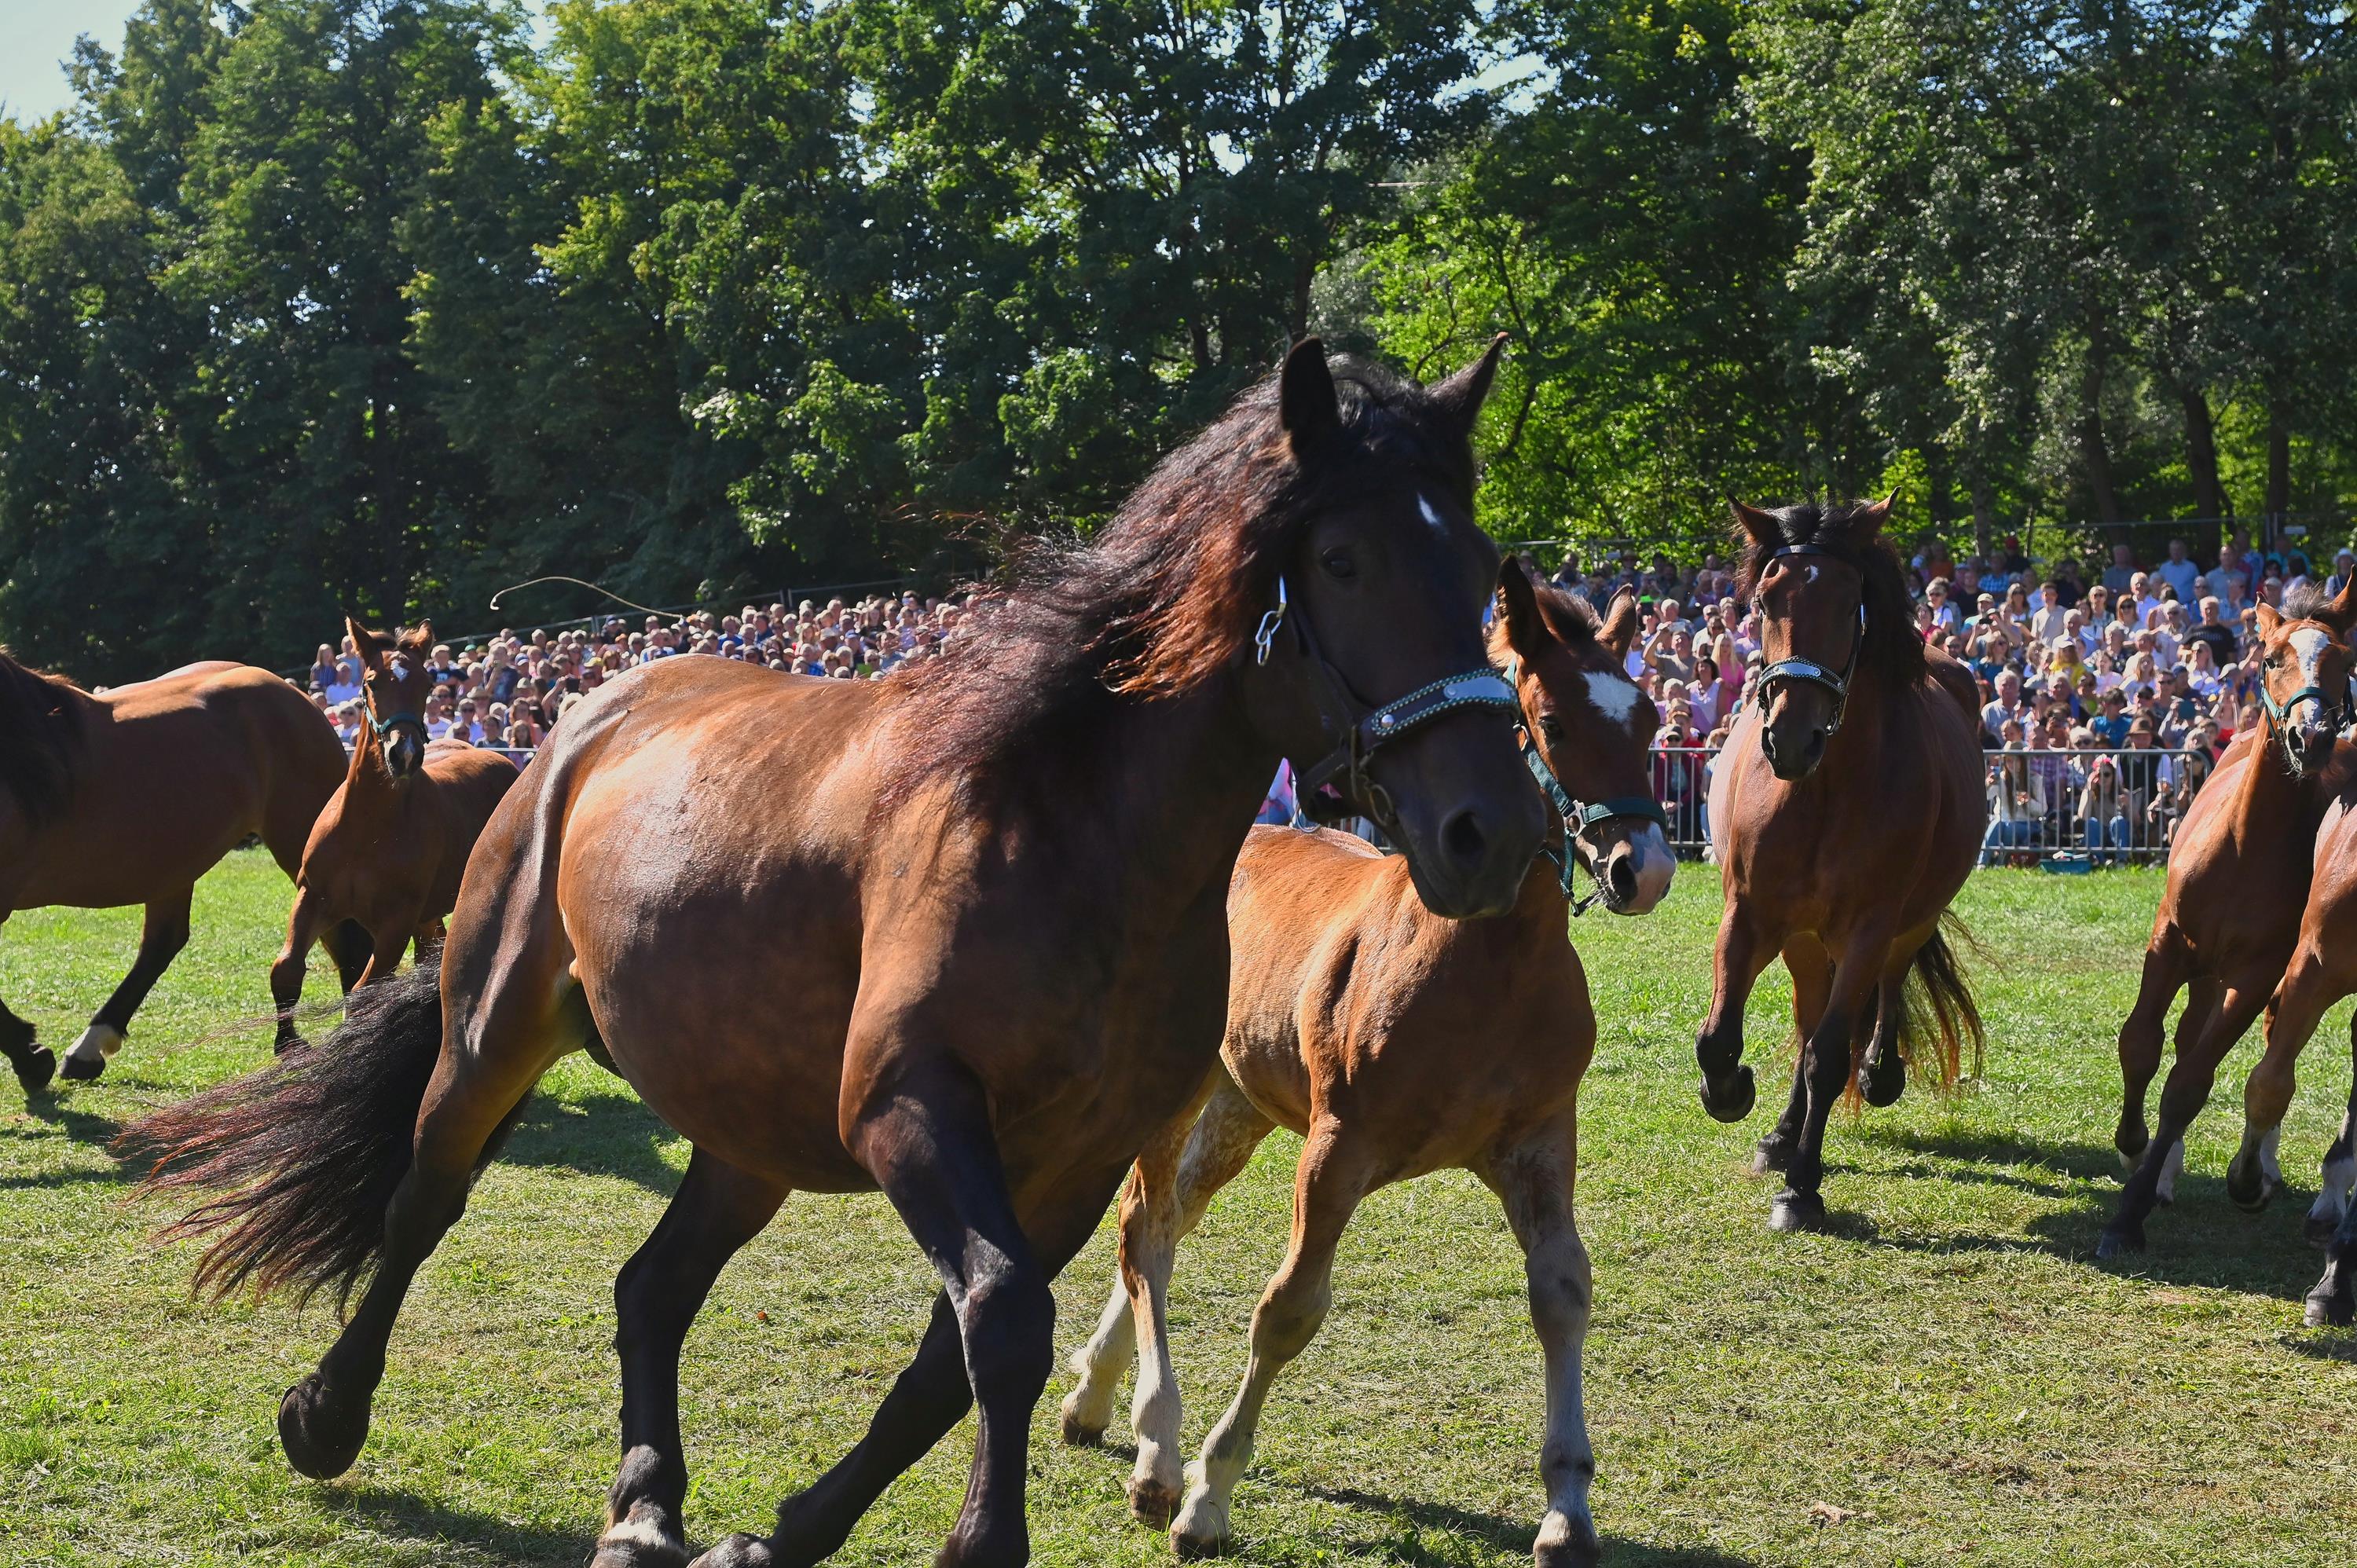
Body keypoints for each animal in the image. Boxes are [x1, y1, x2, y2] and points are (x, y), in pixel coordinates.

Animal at [0, 650, 353, 1094]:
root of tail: (295, 696)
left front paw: (30, 1058)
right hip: (174, 864)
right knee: (163, 943)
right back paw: (89, 1048)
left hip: (302, 842)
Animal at [268, 619, 520, 1050]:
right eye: (371, 682)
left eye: (426, 683)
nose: (404, 755)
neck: (366, 828)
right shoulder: (313, 896)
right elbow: (285, 969)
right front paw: (289, 1047)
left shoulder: (397, 919)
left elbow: (364, 994)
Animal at [1055, 561, 1671, 1566]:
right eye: (1551, 719)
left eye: (1651, 717)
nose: (1642, 866)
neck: (1489, 963)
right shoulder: (1338, 1149)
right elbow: (1288, 1309)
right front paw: (1208, 1495)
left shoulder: (1541, 1140)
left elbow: (1563, 1294)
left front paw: (1567, 1508)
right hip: (1184, 1095)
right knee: (1145, 1224)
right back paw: (1156, 1451)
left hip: (1242, 1105)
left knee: (1172, 1217)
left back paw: (1095, 1397)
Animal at [1694, 499, 1986, 1232]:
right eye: (1765, 600)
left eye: (1849, 600)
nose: (1791, 738)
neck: (1822, 788)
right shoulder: (1750, 916)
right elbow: (1721, 1039)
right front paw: (1735, 1093)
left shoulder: (1868, 928)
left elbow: (1828, 1056)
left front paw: (1802, 1189)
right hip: (1802, 938)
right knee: (1806, 1017)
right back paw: (1780, 1132)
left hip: (1907, 922)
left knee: (1882, 987)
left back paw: (1879, 1071)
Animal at [2095, 581, 2357, 1259]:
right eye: (2272, 658)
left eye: (2344, 662)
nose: (2311, 737)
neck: (2245, 844)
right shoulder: (2169, 942)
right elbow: (2140, 1043)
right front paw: (2135, 1152)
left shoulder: (2257, 971)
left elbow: (2191, 1081)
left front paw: (2127, 1218)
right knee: (2186, 1035)